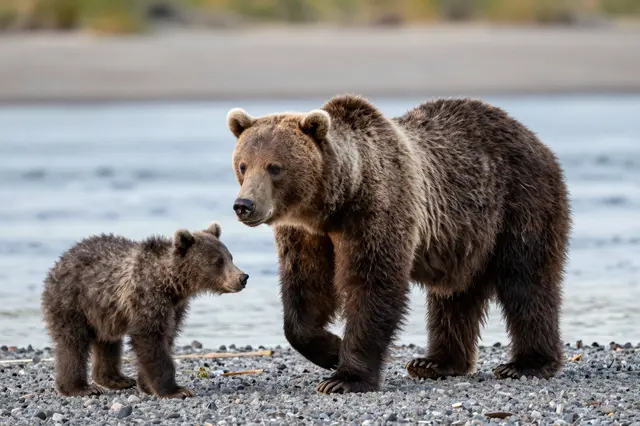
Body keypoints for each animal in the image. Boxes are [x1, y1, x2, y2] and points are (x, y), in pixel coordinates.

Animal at [41, 222, 249, 398]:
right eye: (217, 261)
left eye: (230, 257)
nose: (243, 277)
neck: (171, 284)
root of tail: (58, 263)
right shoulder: (148, 299)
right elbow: (150, 340)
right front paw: (176, 390)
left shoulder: (175, 309)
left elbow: (166, 338)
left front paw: (147, 385)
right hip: (72, 302)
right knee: (73, 344)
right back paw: (80, 387)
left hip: (104, 312)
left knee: (108, 342)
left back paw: (117, 379)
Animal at [225, 94, 570, 394]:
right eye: (243, 164)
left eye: (274, 167)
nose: (244, 205)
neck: (333, 204)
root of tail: (534, 139)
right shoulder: (306, 233)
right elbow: (306, 291)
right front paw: (332, 350)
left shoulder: (378, 208)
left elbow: (373, 284)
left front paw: (345, 378)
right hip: (465, 236)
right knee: (455, 296)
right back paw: (435, 362)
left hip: (521, 202)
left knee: (526, 280)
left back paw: (526, 364)